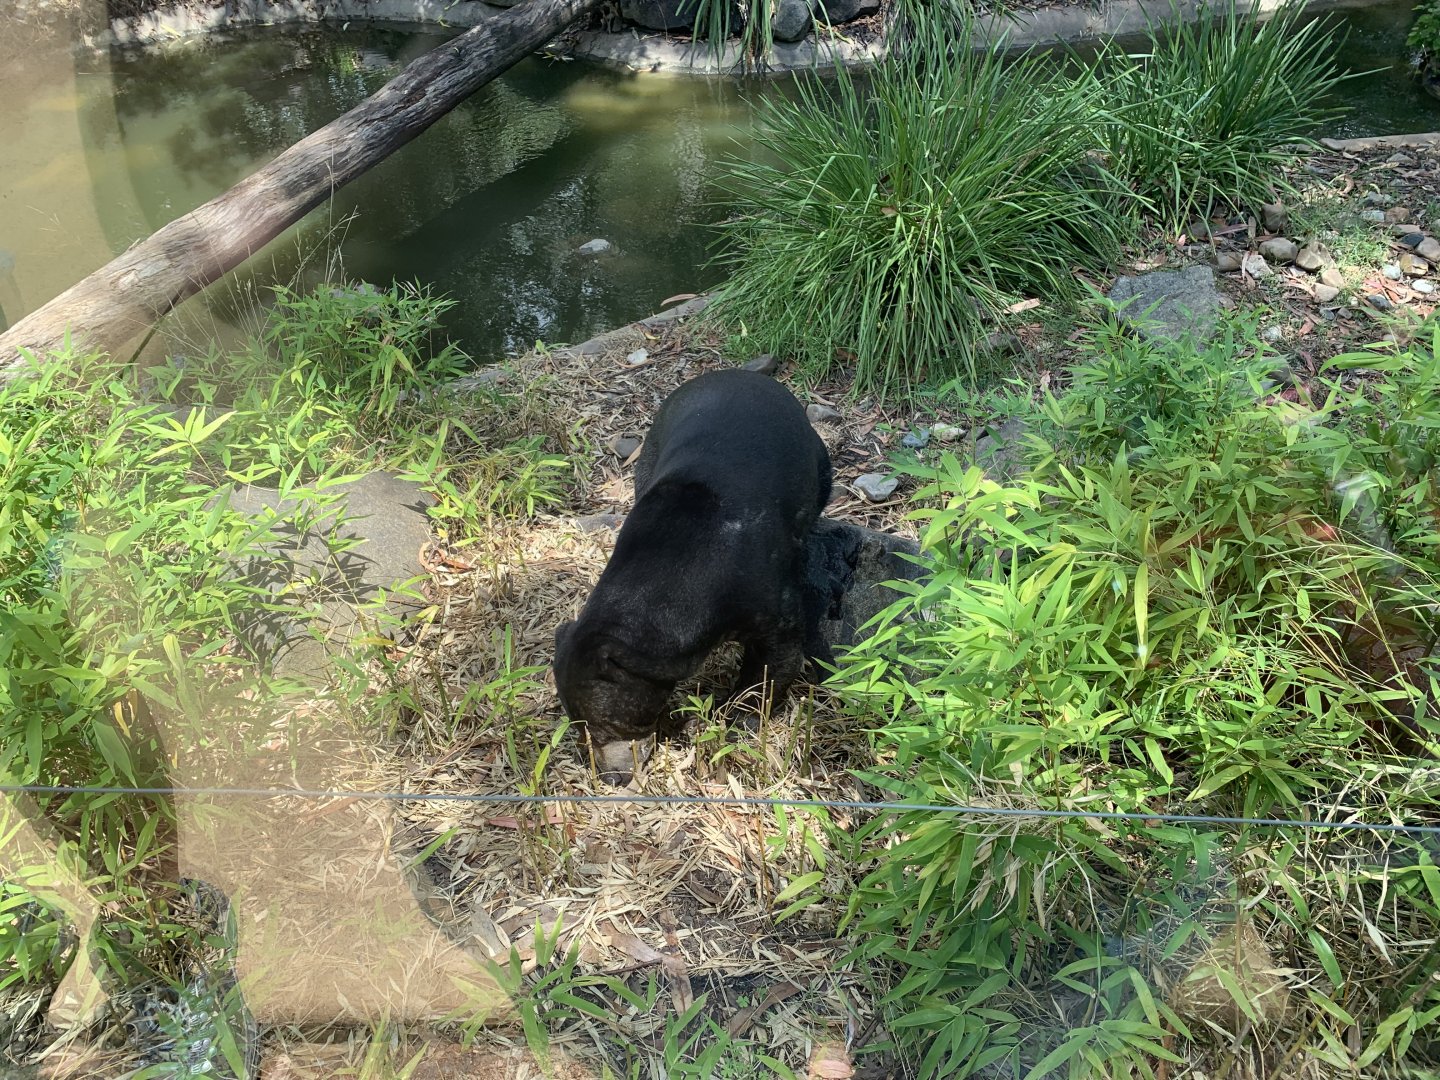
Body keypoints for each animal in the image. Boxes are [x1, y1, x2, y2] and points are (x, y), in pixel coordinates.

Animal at [553, 368, 832, 784]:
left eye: (611, 726)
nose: (610, 778)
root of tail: (740, 372)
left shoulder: (769, 599)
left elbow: (776, 660)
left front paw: (740, 719)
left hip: (819, 459)